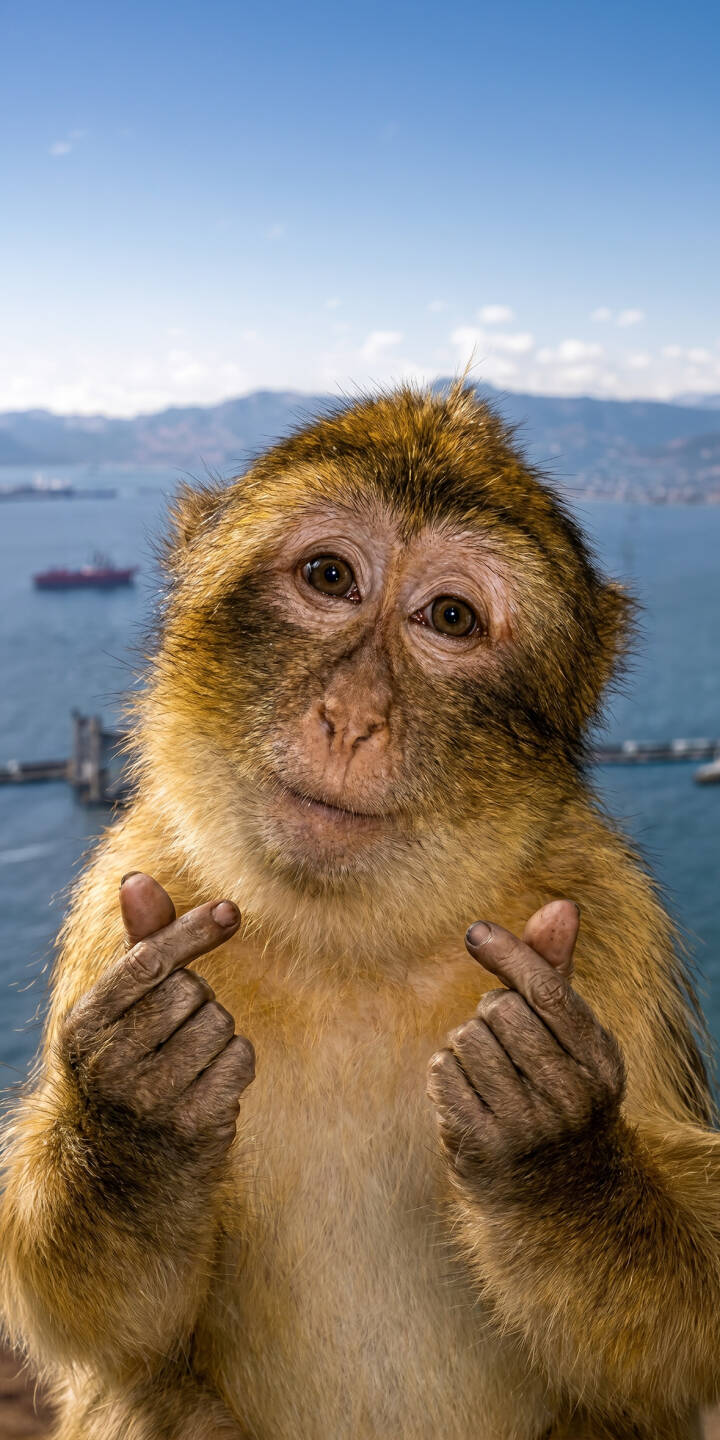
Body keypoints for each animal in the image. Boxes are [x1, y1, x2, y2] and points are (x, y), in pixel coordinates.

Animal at [1, 382, 719, 1440]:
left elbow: (682, 1337)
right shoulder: (124, 884)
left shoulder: (611, 911)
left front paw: (554, 1148)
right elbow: (106, 1325)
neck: (353, 939)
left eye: (450, 617)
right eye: (330, 575)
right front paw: (135, 1111)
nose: (351, 716)